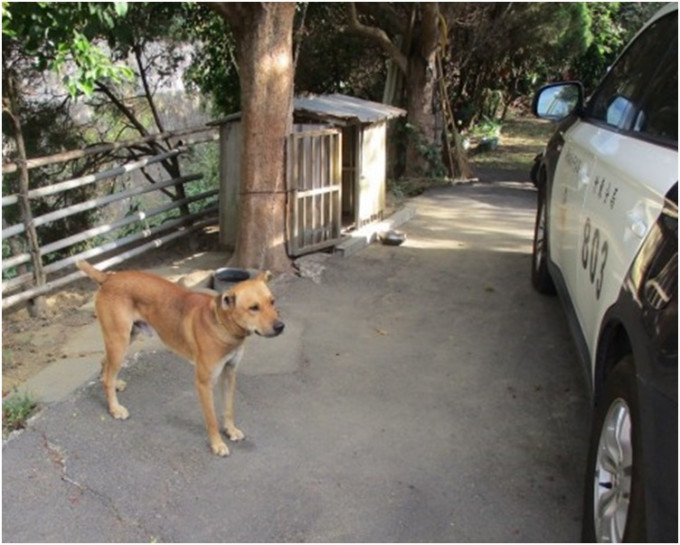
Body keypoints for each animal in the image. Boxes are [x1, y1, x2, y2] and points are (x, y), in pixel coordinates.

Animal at [77, 260, 284, 454]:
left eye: (272, 302)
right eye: (254, 308)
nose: (281, 326)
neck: (222, 324)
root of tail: (108, 277)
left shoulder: (230, 373)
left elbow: (228, 408)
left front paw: (231, 430)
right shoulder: (204, 383)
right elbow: (211, 419)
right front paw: (217, 444)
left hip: (126, 337)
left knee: (105, 364)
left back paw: (115, 384)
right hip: (119, 340)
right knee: (107, 378)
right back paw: (115, 409)